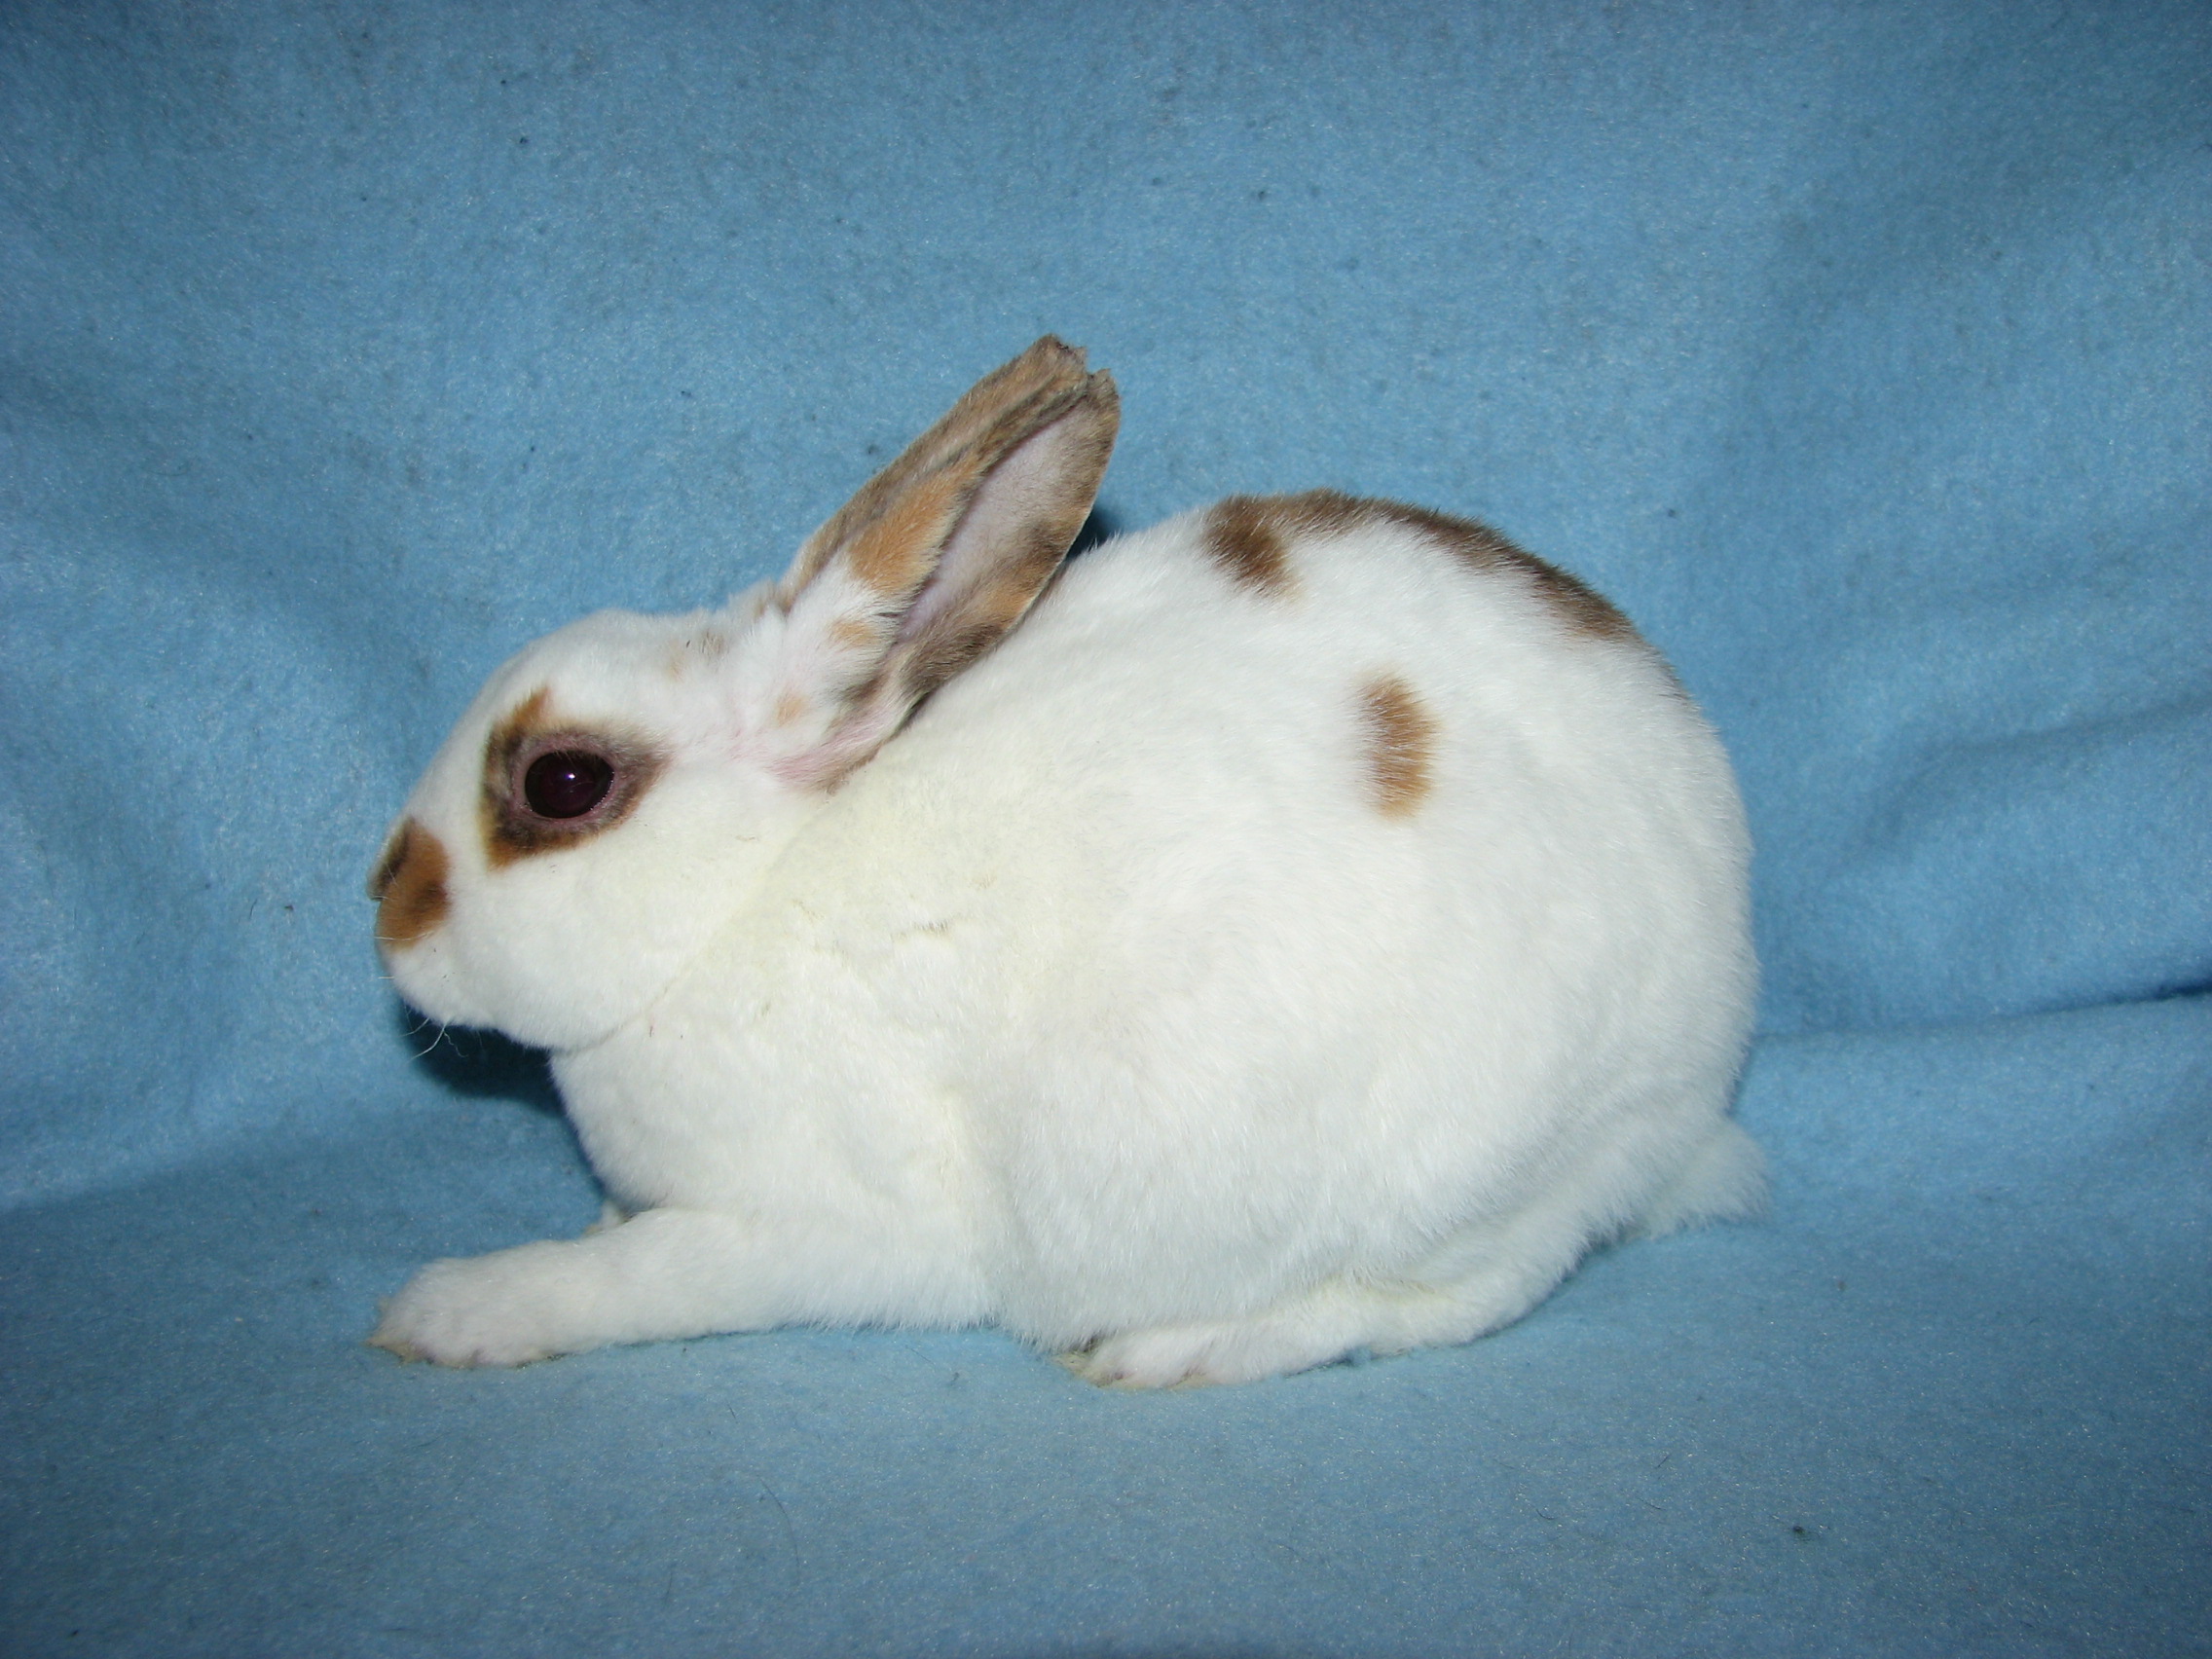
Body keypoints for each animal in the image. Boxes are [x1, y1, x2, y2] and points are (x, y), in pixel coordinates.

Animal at [366, 336, 1762, 1388]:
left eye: (562, 784)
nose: (386, 908)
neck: (730, 911)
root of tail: (1697, 1082)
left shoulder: (797, 1225)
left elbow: (629, 1277)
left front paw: (446, 1312)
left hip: (1460, 1178)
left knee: (1437, 1301)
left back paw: (1169, 1351)